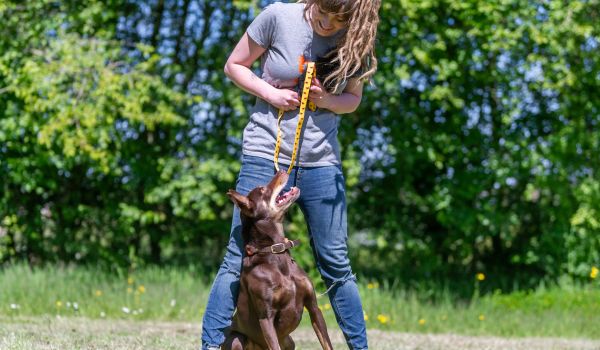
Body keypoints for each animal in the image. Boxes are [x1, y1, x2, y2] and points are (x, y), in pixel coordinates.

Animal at [221, 172, 332, 350]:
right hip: (237, 339)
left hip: (289, 341)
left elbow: (327, 343)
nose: (281, 172)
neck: (275, 251)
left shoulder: (314, 307)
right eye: (262, 189)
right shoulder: (266, 317)